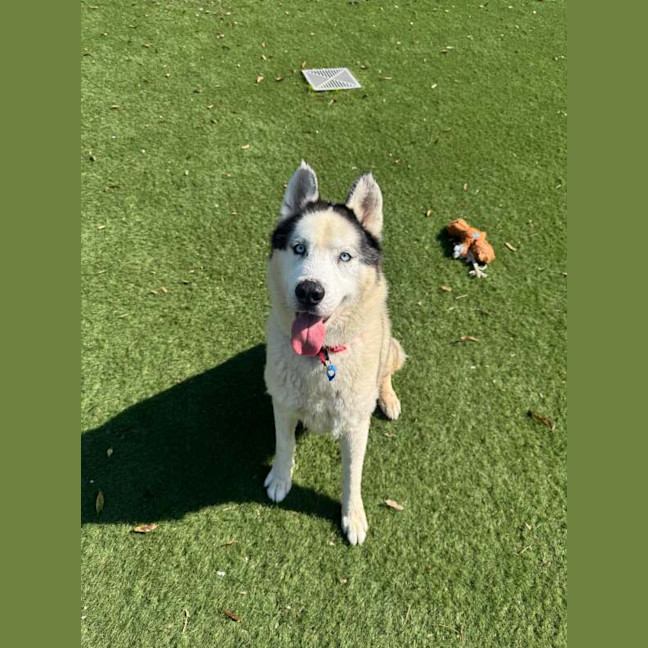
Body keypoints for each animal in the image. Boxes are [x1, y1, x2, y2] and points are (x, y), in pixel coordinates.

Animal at [264, 161, 406, 545]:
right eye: (298, 248)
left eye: (345, 256)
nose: (310, 291)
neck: (322, 358)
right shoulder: (282, 404)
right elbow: (284, 445)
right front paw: (281, 478)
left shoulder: (356, 426)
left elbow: (351, 475)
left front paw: (352, 516)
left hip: (391, 346)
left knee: (386, 374)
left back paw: (388, 399)